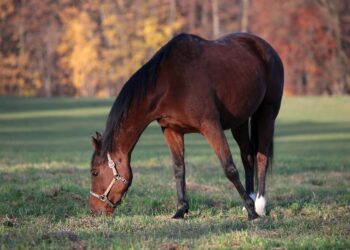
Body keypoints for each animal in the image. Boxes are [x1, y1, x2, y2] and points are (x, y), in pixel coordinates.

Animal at [89, 31, 284, 221]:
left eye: (94, 172)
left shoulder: (211, 126)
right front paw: (181, 210)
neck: (170, 82)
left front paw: (252, 212)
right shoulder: (171, 130)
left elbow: (229, 168)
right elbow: (179, 168)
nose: (94, 210)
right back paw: (249, 199)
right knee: (247, 156)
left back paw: (259, 205)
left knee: (261, 157)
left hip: (267, 113)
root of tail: (265, 47)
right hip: (240, 122)